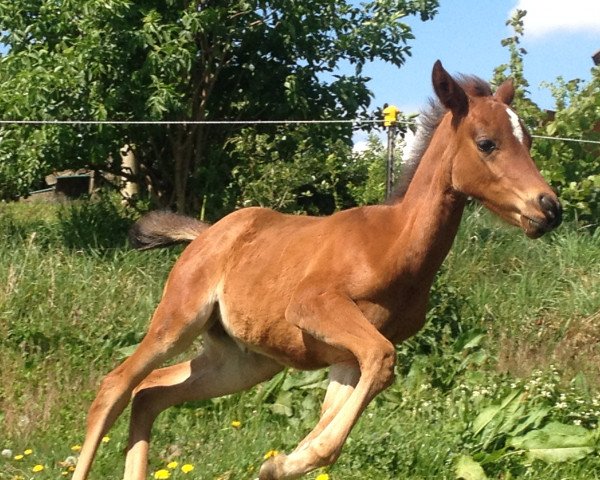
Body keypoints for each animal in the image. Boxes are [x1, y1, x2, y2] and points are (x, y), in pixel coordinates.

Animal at [72, 62, 560, 480]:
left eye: (529, 142)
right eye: (487, 143)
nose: (549, 208)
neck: (393, 246)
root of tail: (207, 234)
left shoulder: (344, 357)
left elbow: (345, 406)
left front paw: (280, 463)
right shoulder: (313, 308)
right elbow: (383, 361)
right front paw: (286, 460)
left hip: (243, 360)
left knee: (150, 393)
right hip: (179, 318)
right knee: (117, 385)